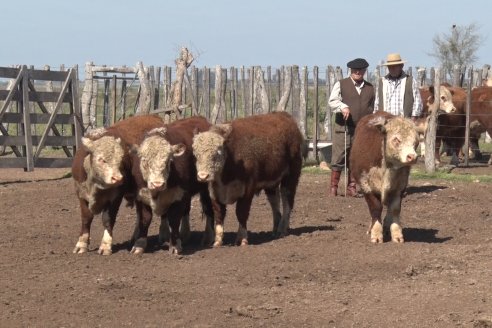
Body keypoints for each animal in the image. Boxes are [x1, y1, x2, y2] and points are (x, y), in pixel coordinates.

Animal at [71, 114, 163, 255]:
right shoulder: (81, 194)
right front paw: (81, 244)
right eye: (101, 159)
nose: (118, 178)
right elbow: (86, 218)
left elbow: (108, 219)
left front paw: (105, 246)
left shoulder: (115, 196)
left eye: (121, 159)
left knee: (147, 216)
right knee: (140, 217)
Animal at [130, 116, 214, 255]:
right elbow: (145, 219)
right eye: (144, 161)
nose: (157, 183)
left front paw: (175, 245)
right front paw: (139, 245)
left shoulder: (179, 195)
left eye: (168, 160)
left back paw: (208, 237)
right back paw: (179, 235)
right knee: (185, 211)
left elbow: (174, 219)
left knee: (208, 209)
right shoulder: (141, 196)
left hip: (205, 187)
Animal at [192, 111, 304, 247]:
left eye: (218, 152)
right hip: (271, 183)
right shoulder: (214, 192)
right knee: (275, 203)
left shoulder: (247, 190)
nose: (203, 176)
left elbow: (241, 213)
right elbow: (219, 214)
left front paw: (242, 239)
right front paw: (217, 242)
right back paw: (275, 230)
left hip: (291, 176)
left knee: (287, 201)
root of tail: (285, 116)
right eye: (195, 153)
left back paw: (282, 230)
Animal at [350, 113, 418, 243]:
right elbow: (375, 209)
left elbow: (395, 209)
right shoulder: (366, 185)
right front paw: (376, 234)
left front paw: (397, 234)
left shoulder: (400, 187)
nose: (412, 157)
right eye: (396, 139)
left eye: (415, 141)